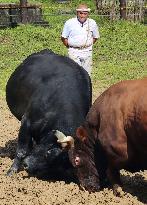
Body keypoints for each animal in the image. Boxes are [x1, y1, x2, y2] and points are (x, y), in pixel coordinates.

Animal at [6, 48, 92, 179]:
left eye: (57, 166)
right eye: (49, 151)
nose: (27, 165)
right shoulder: (27, 122)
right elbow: (21, 150)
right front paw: (12, 170)